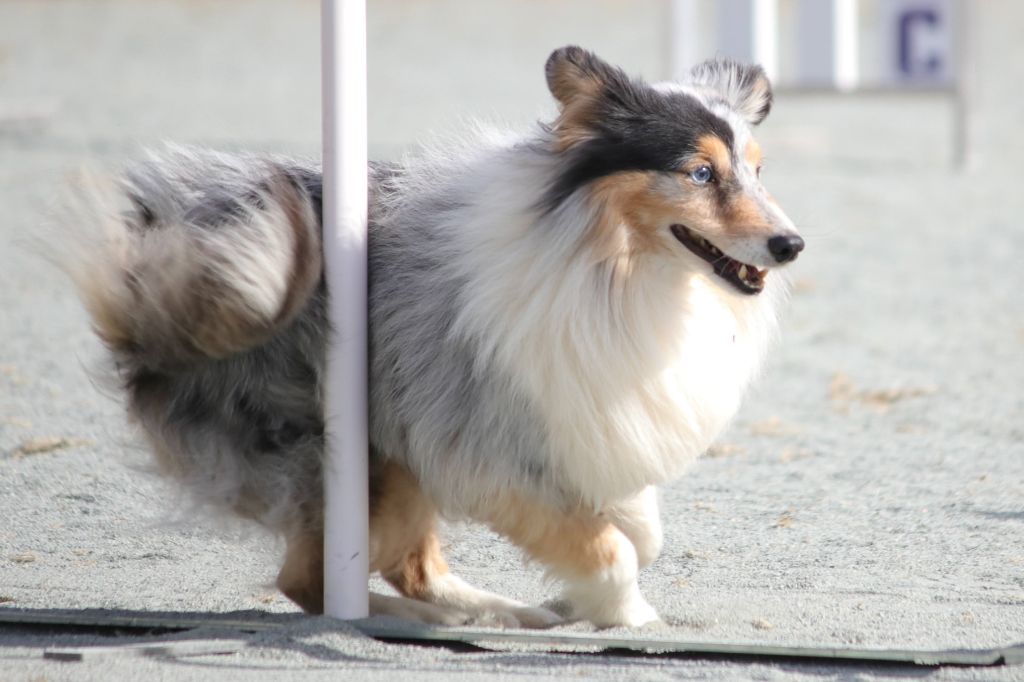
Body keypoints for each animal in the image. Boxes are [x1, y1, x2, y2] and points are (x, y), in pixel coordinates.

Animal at [54, 46, 802, 628]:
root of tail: (152, 300)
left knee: (397, 566)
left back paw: (498, 611)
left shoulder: (578, 415)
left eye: (759, 170)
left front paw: (589, 584)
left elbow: (642, 528)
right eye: (700, 173)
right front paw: (626, 611)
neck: (611, 261)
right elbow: (610, 547)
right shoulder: (490, 451)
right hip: (357, 460)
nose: (790, 244)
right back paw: (418, 620)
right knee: (314, 582)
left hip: (398, 460)